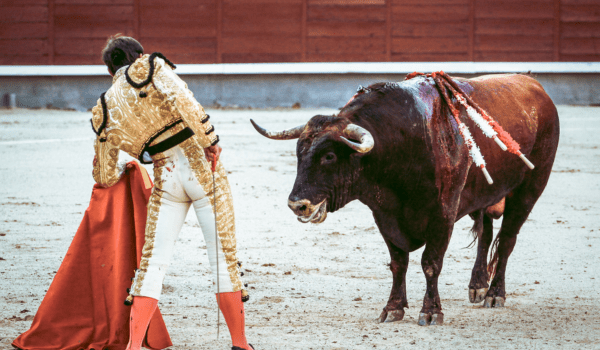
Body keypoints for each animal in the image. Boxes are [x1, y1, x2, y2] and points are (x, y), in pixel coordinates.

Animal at [251, 74, 560, 326]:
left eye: (329, 156)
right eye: (299, 153)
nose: (297, 204)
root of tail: (534, 85)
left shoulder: (443, 213)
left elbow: (431, 263)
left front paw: (431, 312)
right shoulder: (384, 215)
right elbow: (398, 262)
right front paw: (392, 308)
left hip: (530, 188)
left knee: (506, 240)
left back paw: (495, 294)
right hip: (485, 195)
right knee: (485, 234)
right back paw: (477, 286)